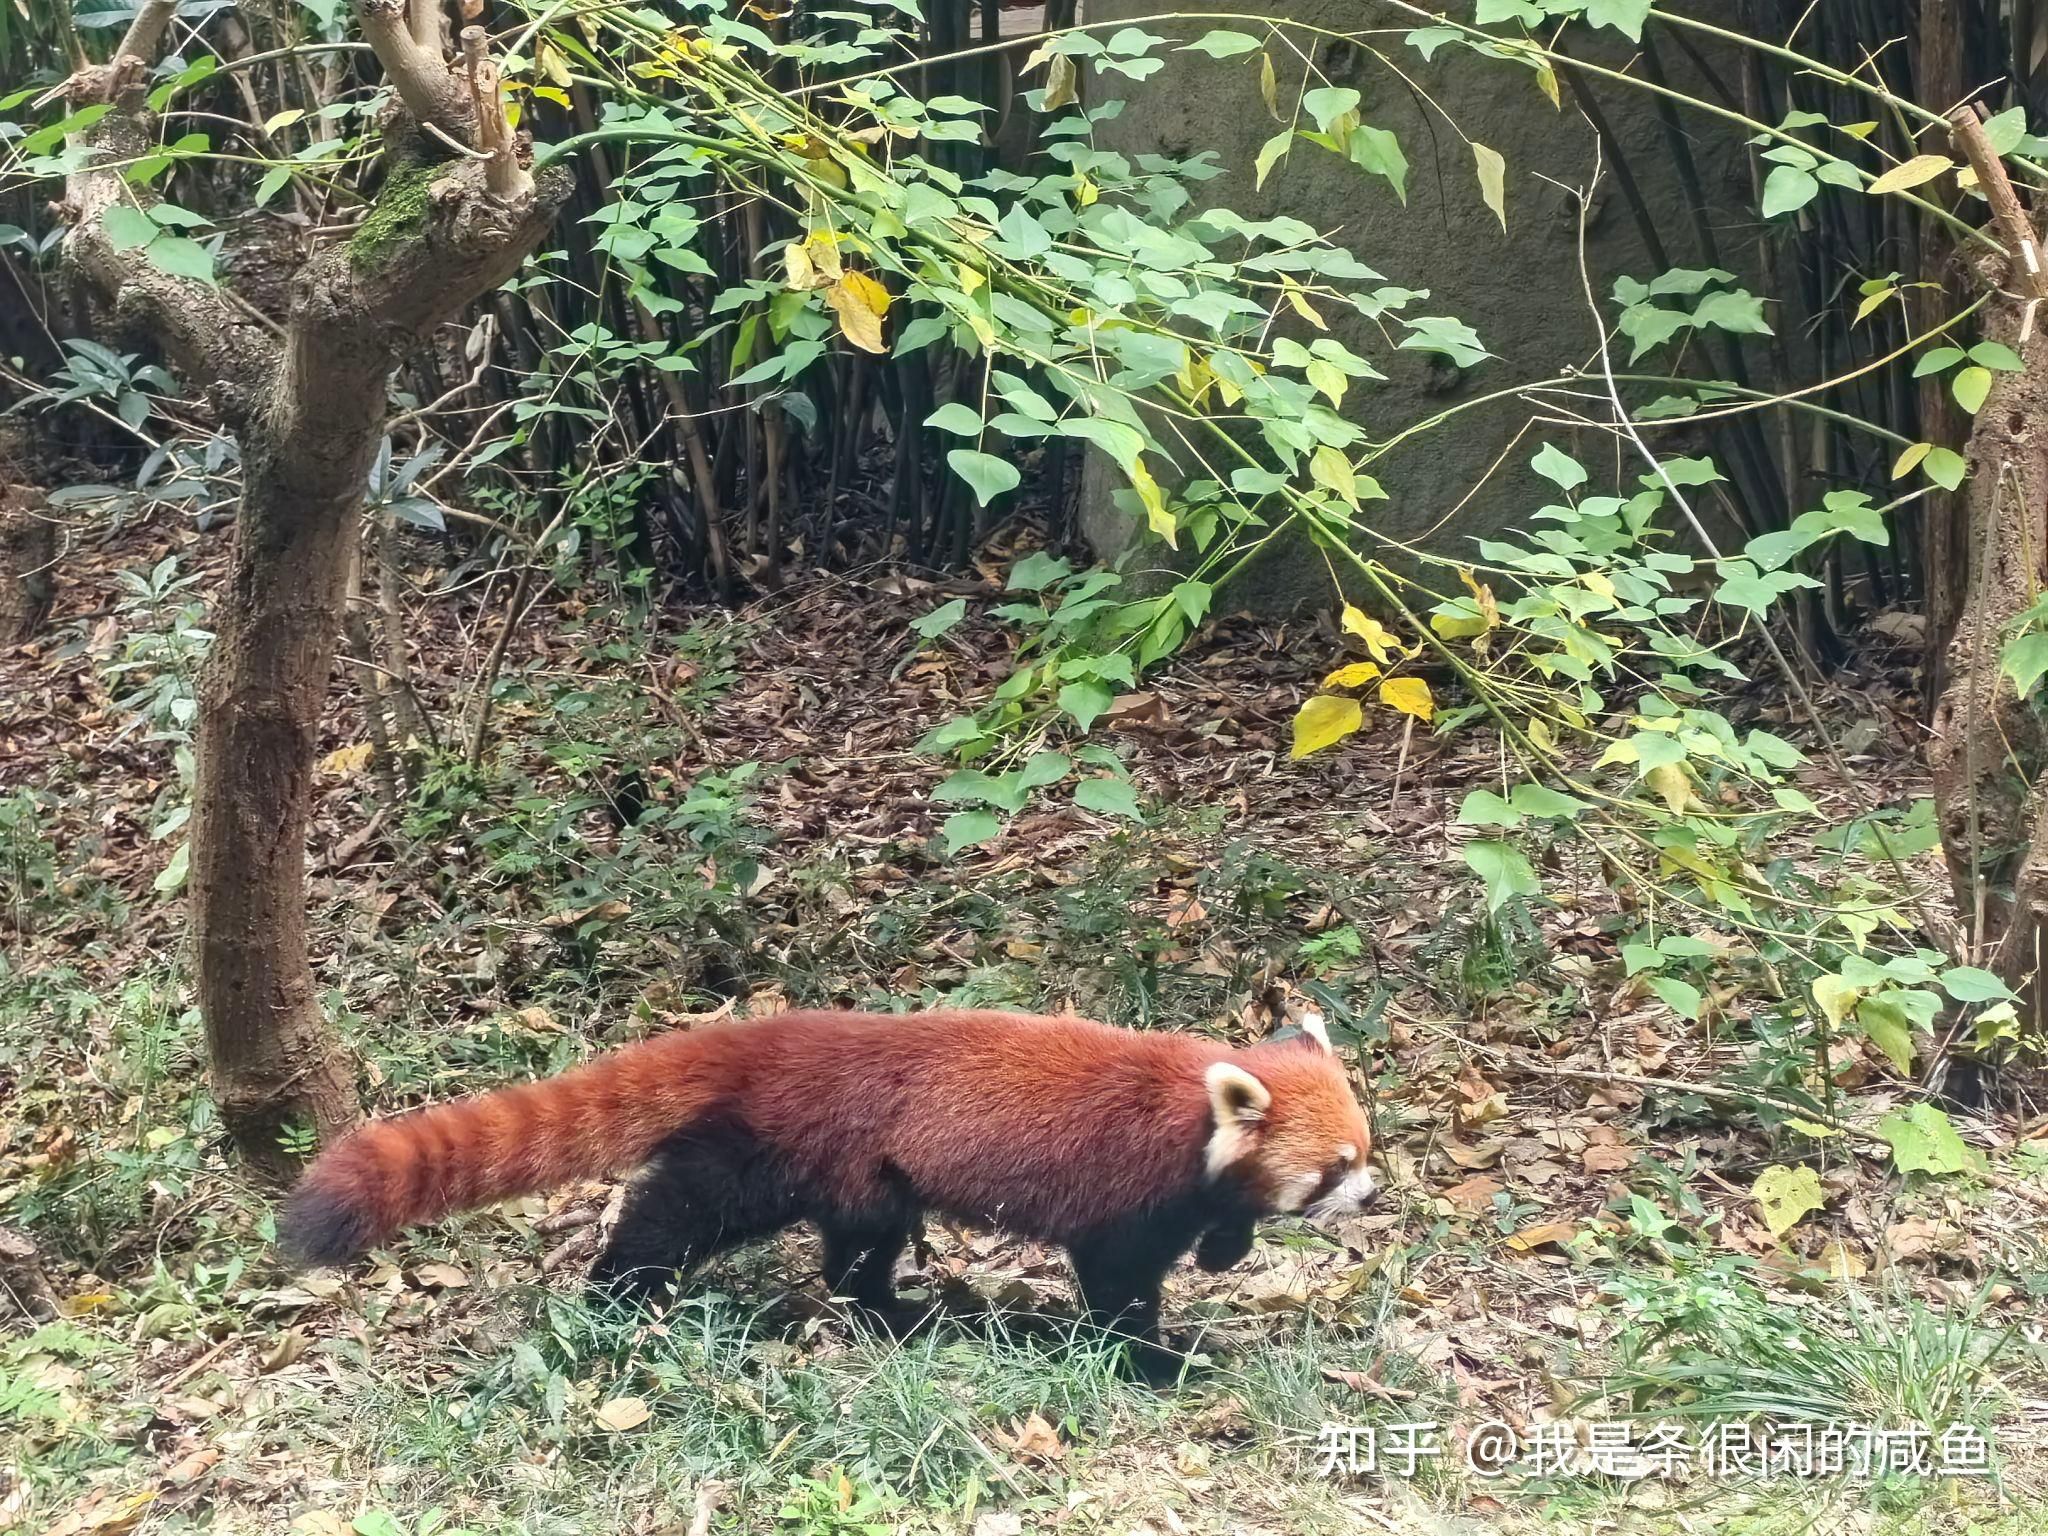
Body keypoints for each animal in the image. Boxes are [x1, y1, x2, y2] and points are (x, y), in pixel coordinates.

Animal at [284, 1011, 1376, 1384]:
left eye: (1368, 1151)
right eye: (1335, 1166)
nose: (1368, 1196)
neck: (1193, 1106)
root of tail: (786, 1034)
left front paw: (1227, 1245)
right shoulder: (1124, 1186)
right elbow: (1117, 1285)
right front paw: (1154, 1360)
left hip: (866, 1173)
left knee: (863, 1242)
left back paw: (892, 1310)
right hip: (794, 1151)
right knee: (690, 1210)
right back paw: (622, 1285)